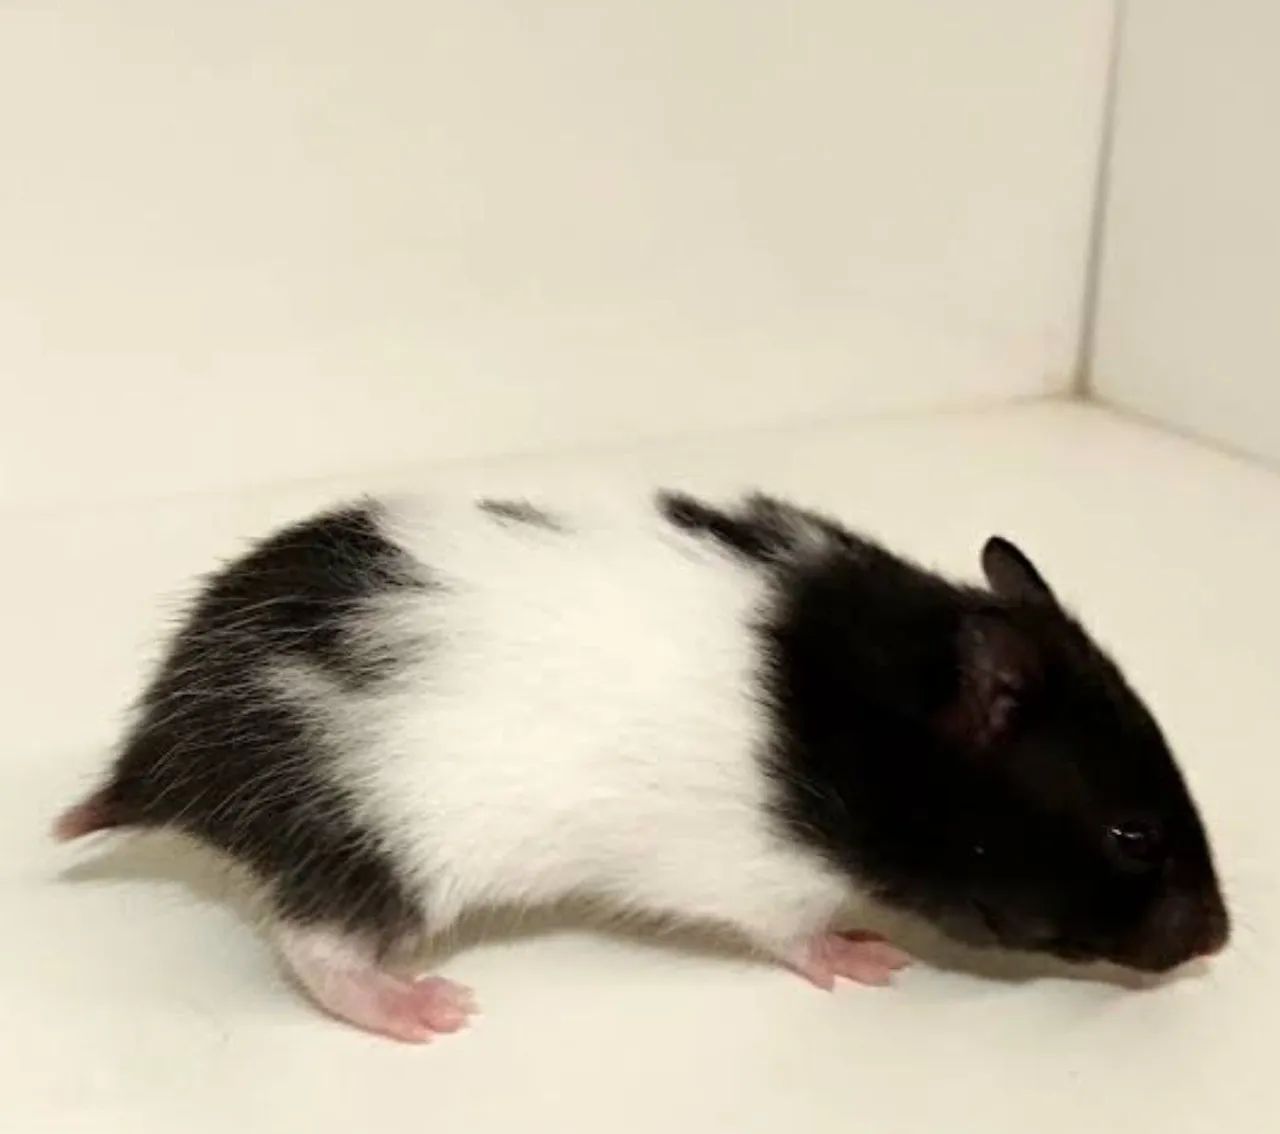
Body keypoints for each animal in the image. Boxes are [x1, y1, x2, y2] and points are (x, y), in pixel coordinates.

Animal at [55, 490, 1229, 1042]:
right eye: (1132, 835)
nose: (1219, 942)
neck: (874, 728)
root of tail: (162, 749)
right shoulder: (764, 880)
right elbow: (797, 935)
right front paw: (867, 958)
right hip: (379, 843)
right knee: (315, 948)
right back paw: (423, 1008)